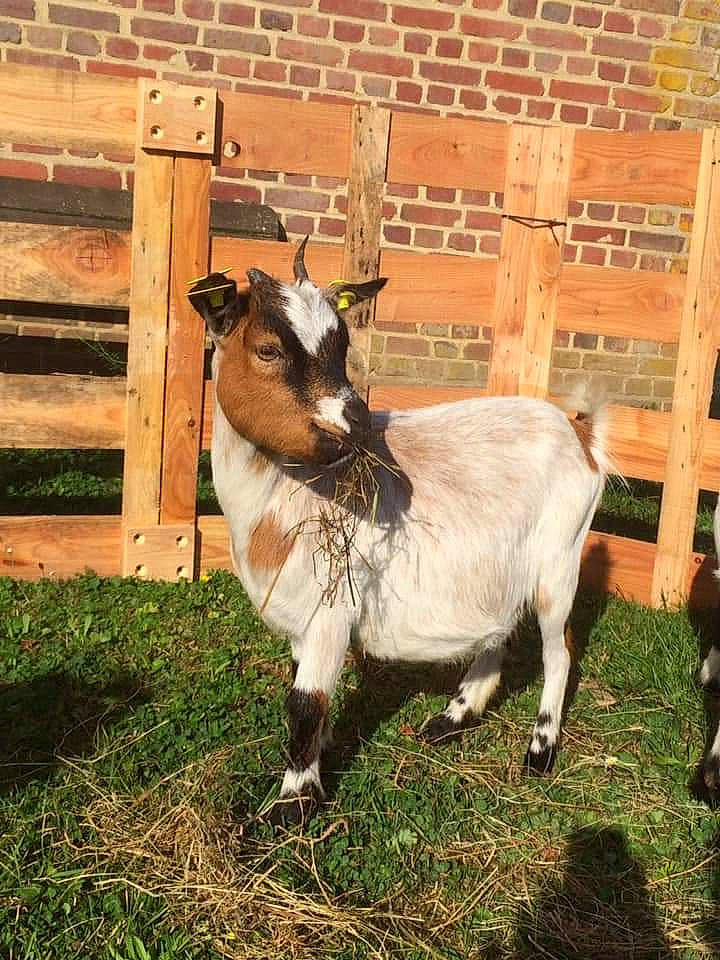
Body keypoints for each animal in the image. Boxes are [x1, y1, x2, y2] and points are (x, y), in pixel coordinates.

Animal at [188, 240, 611, 827]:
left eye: (342, 345)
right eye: (268, 350)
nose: (357, 425)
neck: (286, 499)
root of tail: (580, 434)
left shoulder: (331, 609)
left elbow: (304, 704)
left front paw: (291, 808)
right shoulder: (302, 617)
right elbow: (305, 691)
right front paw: (317, 764)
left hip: (560, 562)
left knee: (559, 650)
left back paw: (540, 750)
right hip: (502, 569)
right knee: (500, 632)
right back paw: (452, 718)